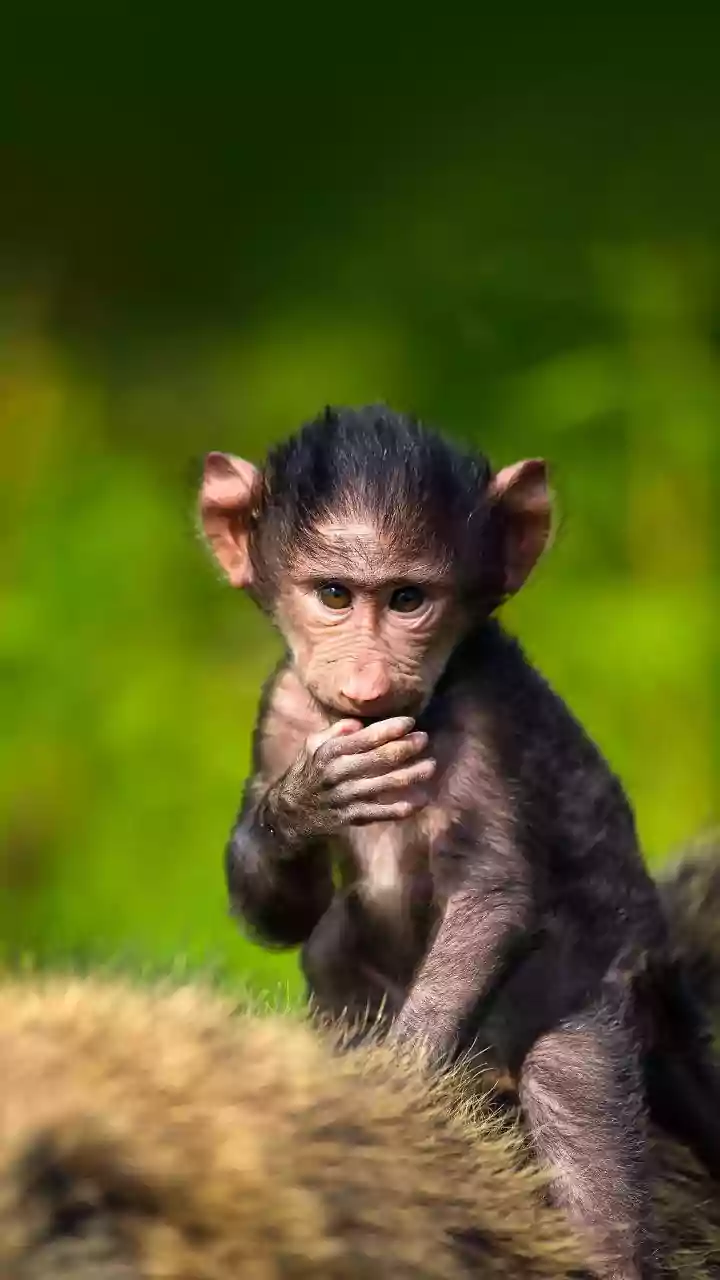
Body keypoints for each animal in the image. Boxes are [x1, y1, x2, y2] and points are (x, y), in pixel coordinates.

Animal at [200, 404, 720, 1279]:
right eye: (334, 594)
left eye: (408, 599)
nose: (370, 679)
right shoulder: (282, 707)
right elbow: (281, 917)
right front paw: (307, 800)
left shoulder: (483, 709)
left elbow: (492, 892)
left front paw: (392, 1086)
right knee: (333, 945)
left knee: (582, 1123)